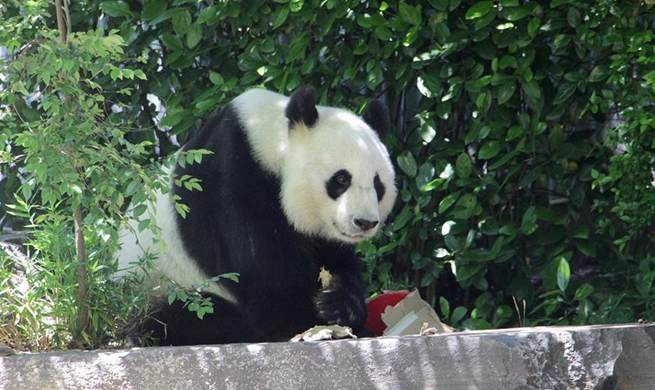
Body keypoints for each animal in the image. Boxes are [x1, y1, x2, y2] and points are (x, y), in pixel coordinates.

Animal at [116, 86, 398, 344]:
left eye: (377, 184)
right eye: (341, 179)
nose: (364, 222)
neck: (270, 141)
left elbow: (335, 258)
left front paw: (339, 305)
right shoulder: (233, 179)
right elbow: (262, 270)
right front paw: (303, 322)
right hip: (159, 287)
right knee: (184, 317)